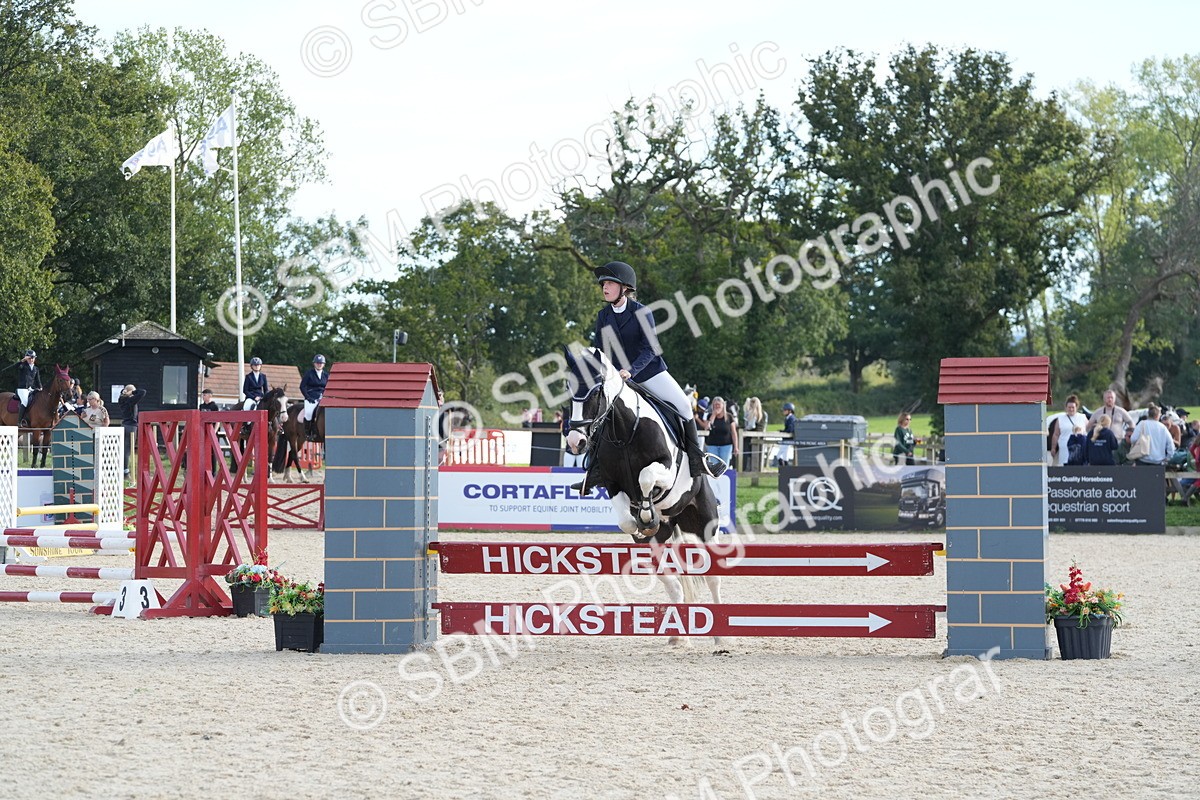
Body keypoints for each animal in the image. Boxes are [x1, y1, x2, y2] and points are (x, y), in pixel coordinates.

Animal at [563, 347, 724, 647]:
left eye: (595, 391)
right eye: (569, 391)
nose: (575, 442)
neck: (624, 431)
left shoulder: (665, 468)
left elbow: (647, 478)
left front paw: (648, 511)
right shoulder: (612, 483)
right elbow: (627, 520)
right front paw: (643, 521)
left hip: (705, 525)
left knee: (713, 579)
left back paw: (720, 639)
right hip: (662, 541)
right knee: (673, 584)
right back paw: (677, 636)